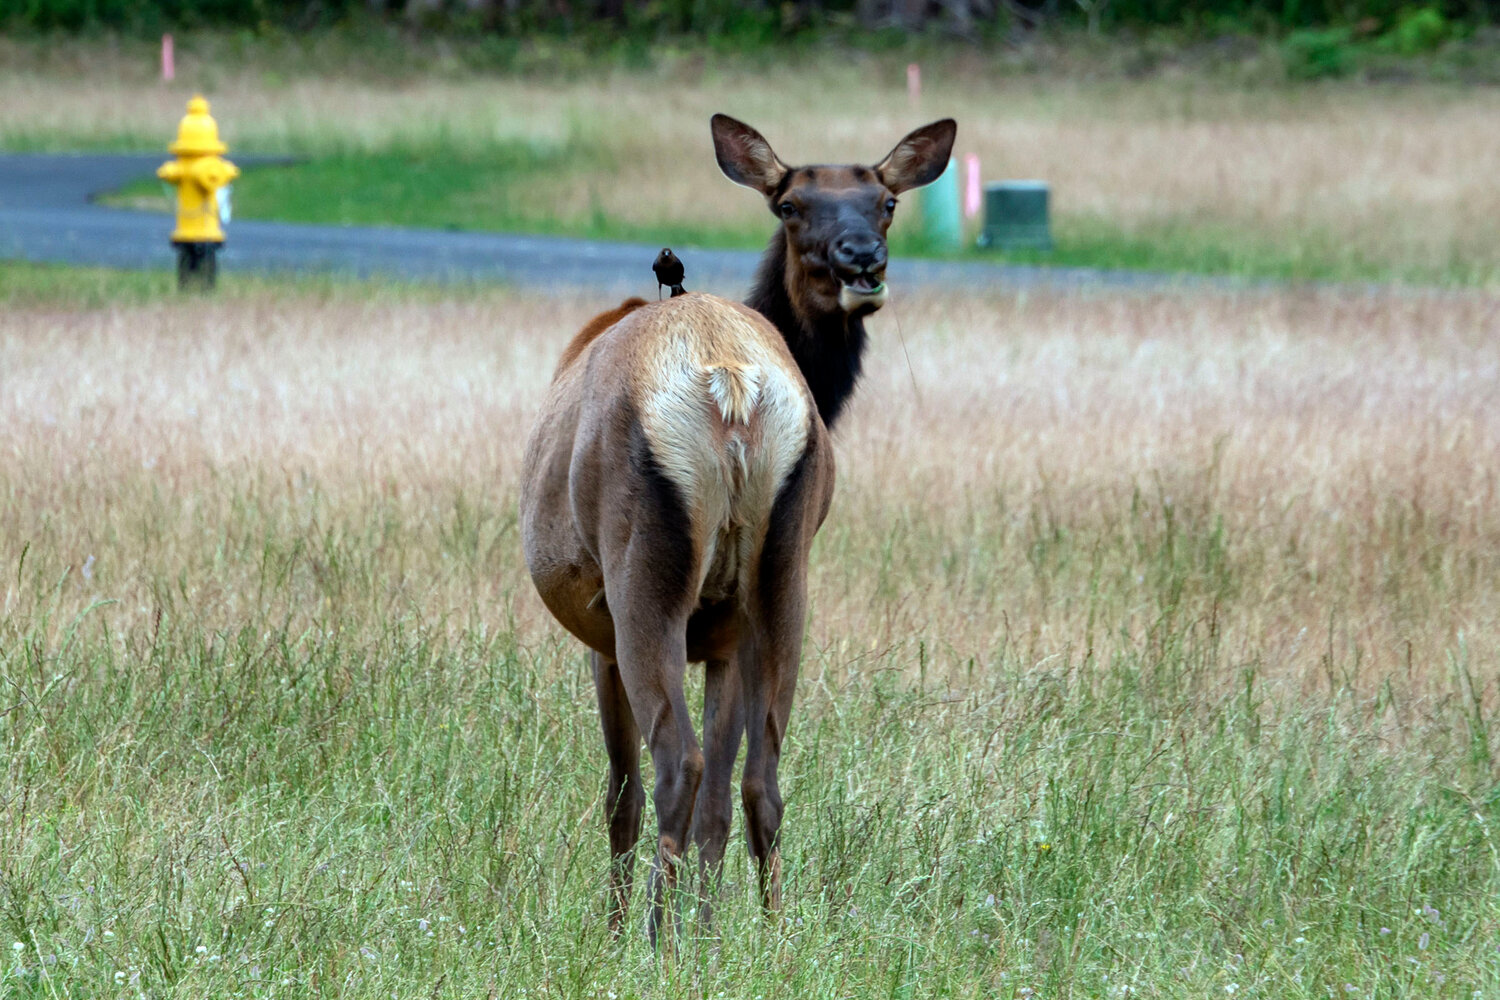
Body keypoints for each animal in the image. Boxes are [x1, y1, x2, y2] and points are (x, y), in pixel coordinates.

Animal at [520, 113, 957, 945]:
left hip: (642, 571)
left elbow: (620, 795)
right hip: (782, 573)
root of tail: (730, 385)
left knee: (676, 767)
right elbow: (723, 801)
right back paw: (770, 936)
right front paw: (709, 926)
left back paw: (654, 941)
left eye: (887, 202)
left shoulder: (599, 630)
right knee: (761, 779)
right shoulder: (724, 633)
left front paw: (621, 930)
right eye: (790, 205)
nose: (862, 259)